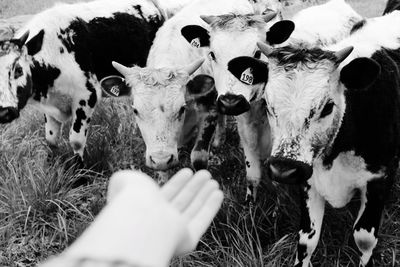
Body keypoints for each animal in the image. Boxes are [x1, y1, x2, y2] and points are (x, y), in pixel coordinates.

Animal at [0, 0, 196, 165]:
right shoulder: (50, 103)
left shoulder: (86, 95)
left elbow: (76, 140)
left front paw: (79, 175)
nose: (4, 112)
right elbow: (51, 139)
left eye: (18, 69)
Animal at [178, 0, 362, 203]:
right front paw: (250, 203)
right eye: (212, 54)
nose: (230, 102)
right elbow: (253, 174)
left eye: (257, 53)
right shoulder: (247, 131)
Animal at [227, 9, 400, 267]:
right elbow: (307, 239)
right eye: (267, 104)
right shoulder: (308, 179)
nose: (283, 169)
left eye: (327, 107)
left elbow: (364, 238)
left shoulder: (380, 178)